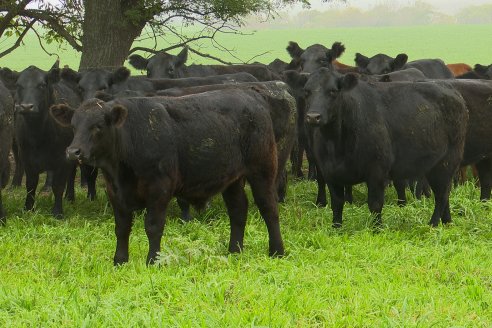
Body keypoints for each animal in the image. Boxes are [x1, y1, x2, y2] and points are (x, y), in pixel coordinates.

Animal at [302, 68, 468, 228]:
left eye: (332, 91)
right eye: (307, 91)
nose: (313, 117)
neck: (337, 143)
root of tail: (451, 90)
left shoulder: (376, 171)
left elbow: (375, 204)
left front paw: (377, 228)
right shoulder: (330, 173)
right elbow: (337, 204)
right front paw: (336, 228)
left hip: (447, 162)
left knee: (441, 195)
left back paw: (432, 224)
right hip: (433, 165)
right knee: (444, 194)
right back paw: (447, 222)